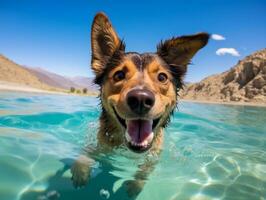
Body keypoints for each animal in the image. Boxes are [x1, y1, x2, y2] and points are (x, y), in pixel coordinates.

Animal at [71, 12, 210, 197]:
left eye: (162, 77)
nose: (141, 99)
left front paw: (135, 185)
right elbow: (87, 151)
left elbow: (146, 169)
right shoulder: (102, 143)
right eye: (119, 75)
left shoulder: (155, 154)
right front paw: (81, 170)